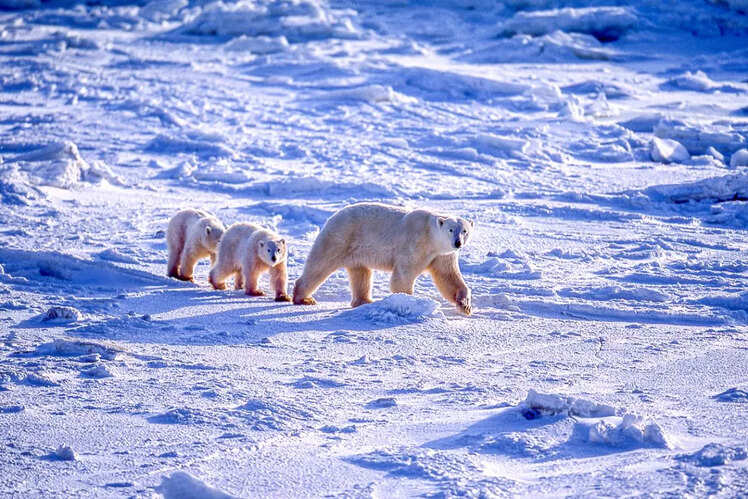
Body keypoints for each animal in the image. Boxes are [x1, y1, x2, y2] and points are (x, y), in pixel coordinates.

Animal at [292, 202, 474, 315]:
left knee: (361, 274)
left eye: (464, 230)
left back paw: (364, 301)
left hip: (355, 251)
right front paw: (407, 301)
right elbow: (403, 274)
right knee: (320, 265)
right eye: (451, 229)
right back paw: (304, 298)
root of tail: (332, 218)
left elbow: (448, 277)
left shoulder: (443, 255)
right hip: (340, 238)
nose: (457, 242)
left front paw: (465, 305)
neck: (431, 237)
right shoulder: (415, 243)